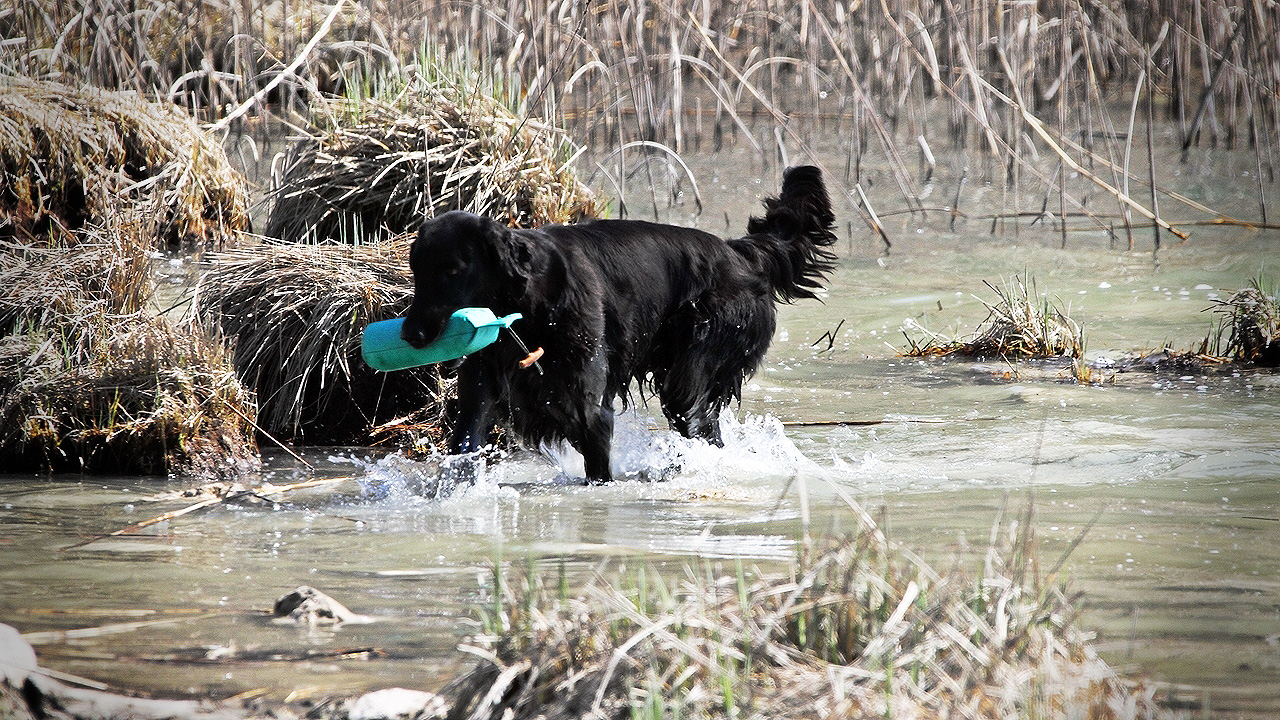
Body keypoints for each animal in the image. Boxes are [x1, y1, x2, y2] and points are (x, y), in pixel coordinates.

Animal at [401, 166, 839, 481]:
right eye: (416, 270)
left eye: (453, 270)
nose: (411, 335)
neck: (528, 310)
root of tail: (740, 253)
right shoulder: (483, 384)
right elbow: (466, 442)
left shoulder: (590, 409)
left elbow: (598, 469)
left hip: (692, 375)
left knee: (701, 427)